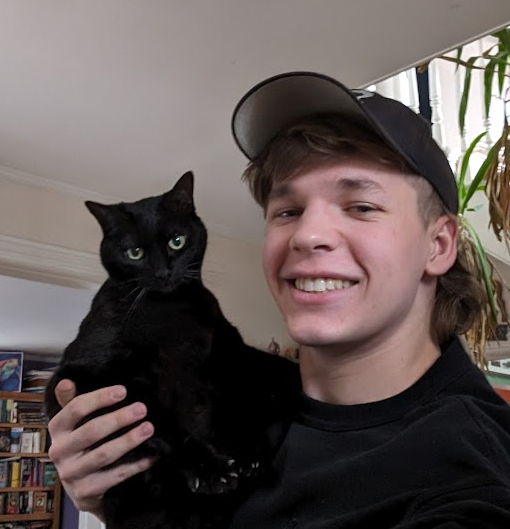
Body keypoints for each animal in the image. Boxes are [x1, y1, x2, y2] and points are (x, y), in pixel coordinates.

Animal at [43, 172, 300, 528]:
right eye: (134, 252)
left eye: (176, 241)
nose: (163, 273)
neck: (169, 312)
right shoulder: (93, 374)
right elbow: (158, 421)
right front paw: (210, 468)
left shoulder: (229, 355)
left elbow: (240, 398)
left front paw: (247, 454)